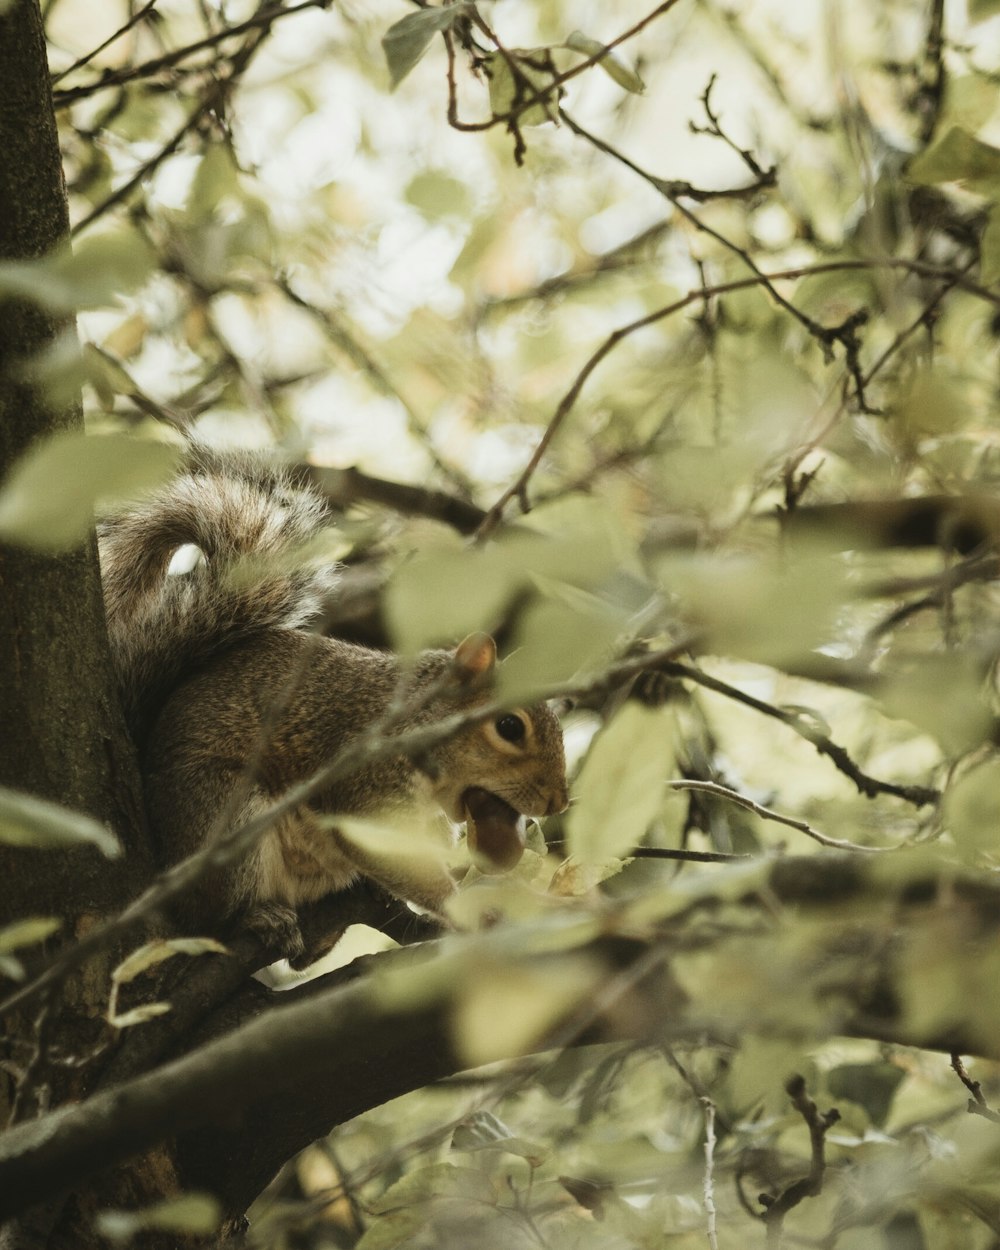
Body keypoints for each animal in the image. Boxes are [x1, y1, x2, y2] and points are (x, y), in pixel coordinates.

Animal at [100, 452, 570, 965]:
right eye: (509, 727)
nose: (558, 801)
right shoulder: (363, 780)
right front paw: (466, 909)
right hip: (224, 816)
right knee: (213, 918)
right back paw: (260, 917)